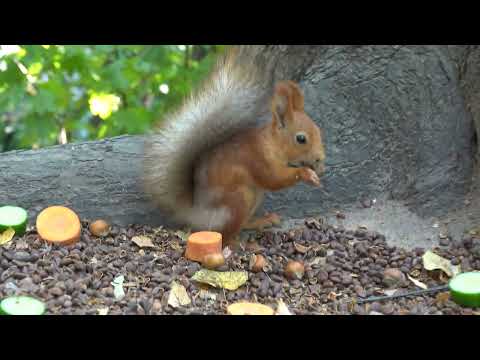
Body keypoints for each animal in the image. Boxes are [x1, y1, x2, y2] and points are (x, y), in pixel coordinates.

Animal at [143, 45, 326, 248]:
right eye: (301, 139)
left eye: (318, 130)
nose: (320, 158)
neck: (271, 143)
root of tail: (196, 214)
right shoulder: (256, 158)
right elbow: (274, 179)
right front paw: (306, 173)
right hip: (238, 201)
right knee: (225, 234)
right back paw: (238, 244)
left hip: (253, 197)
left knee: (242, 224)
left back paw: (261, 221)